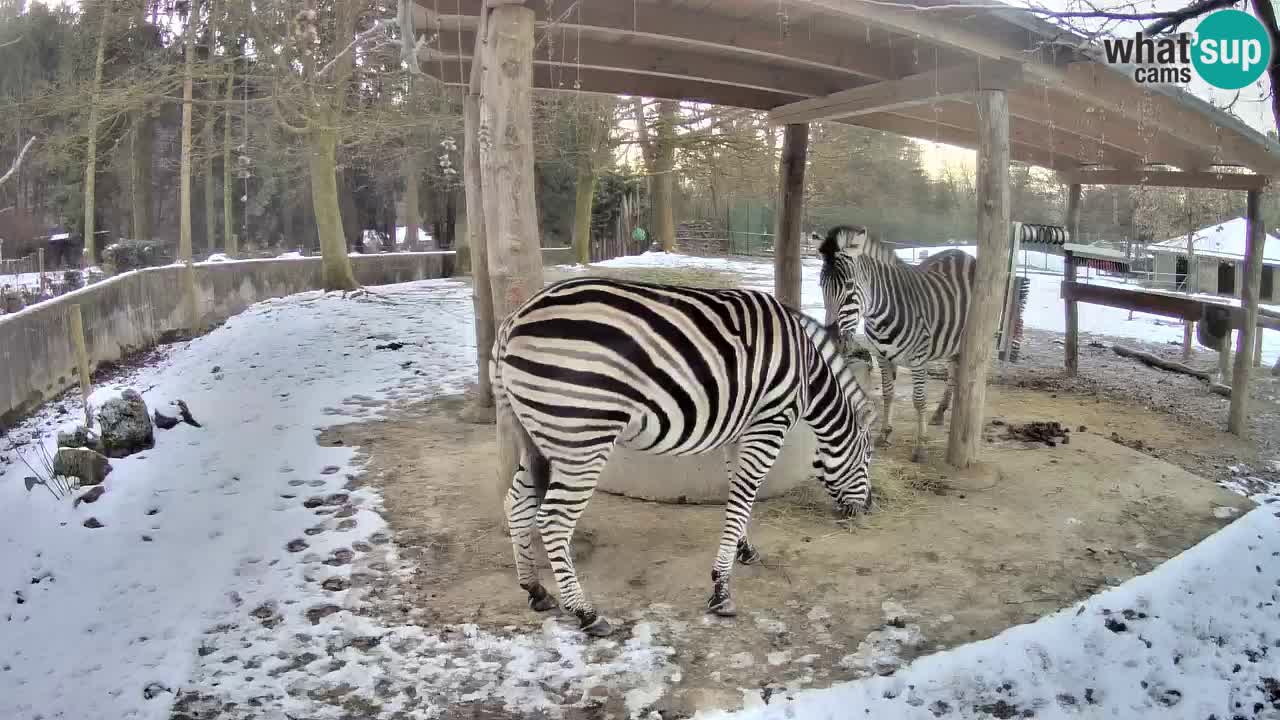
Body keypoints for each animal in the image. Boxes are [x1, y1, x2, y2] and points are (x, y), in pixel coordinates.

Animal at [488, 274, 880, 632]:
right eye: (868, 457)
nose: (867, 509)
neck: (807, 371)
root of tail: (513, 321)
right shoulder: (769, 423)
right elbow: (742, 501)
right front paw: (721, 590)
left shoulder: (738, 432)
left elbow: (739, 496)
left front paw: (744, 550)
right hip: (582, 438)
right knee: (552, 520)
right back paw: (586, 613)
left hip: (543, 437)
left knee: (515, 504)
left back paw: (535, 590)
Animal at [814, 222, 972, 458]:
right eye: (821, 285)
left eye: (850, 286)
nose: (833, 339)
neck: (879, 312)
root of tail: (962, 253)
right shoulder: (881, 356)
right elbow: (888, 394)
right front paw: (885, 433)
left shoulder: (918, 358)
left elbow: (919, 400)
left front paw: (920, 445)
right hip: (950, 344)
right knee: (952, 374)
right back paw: (939, 413)